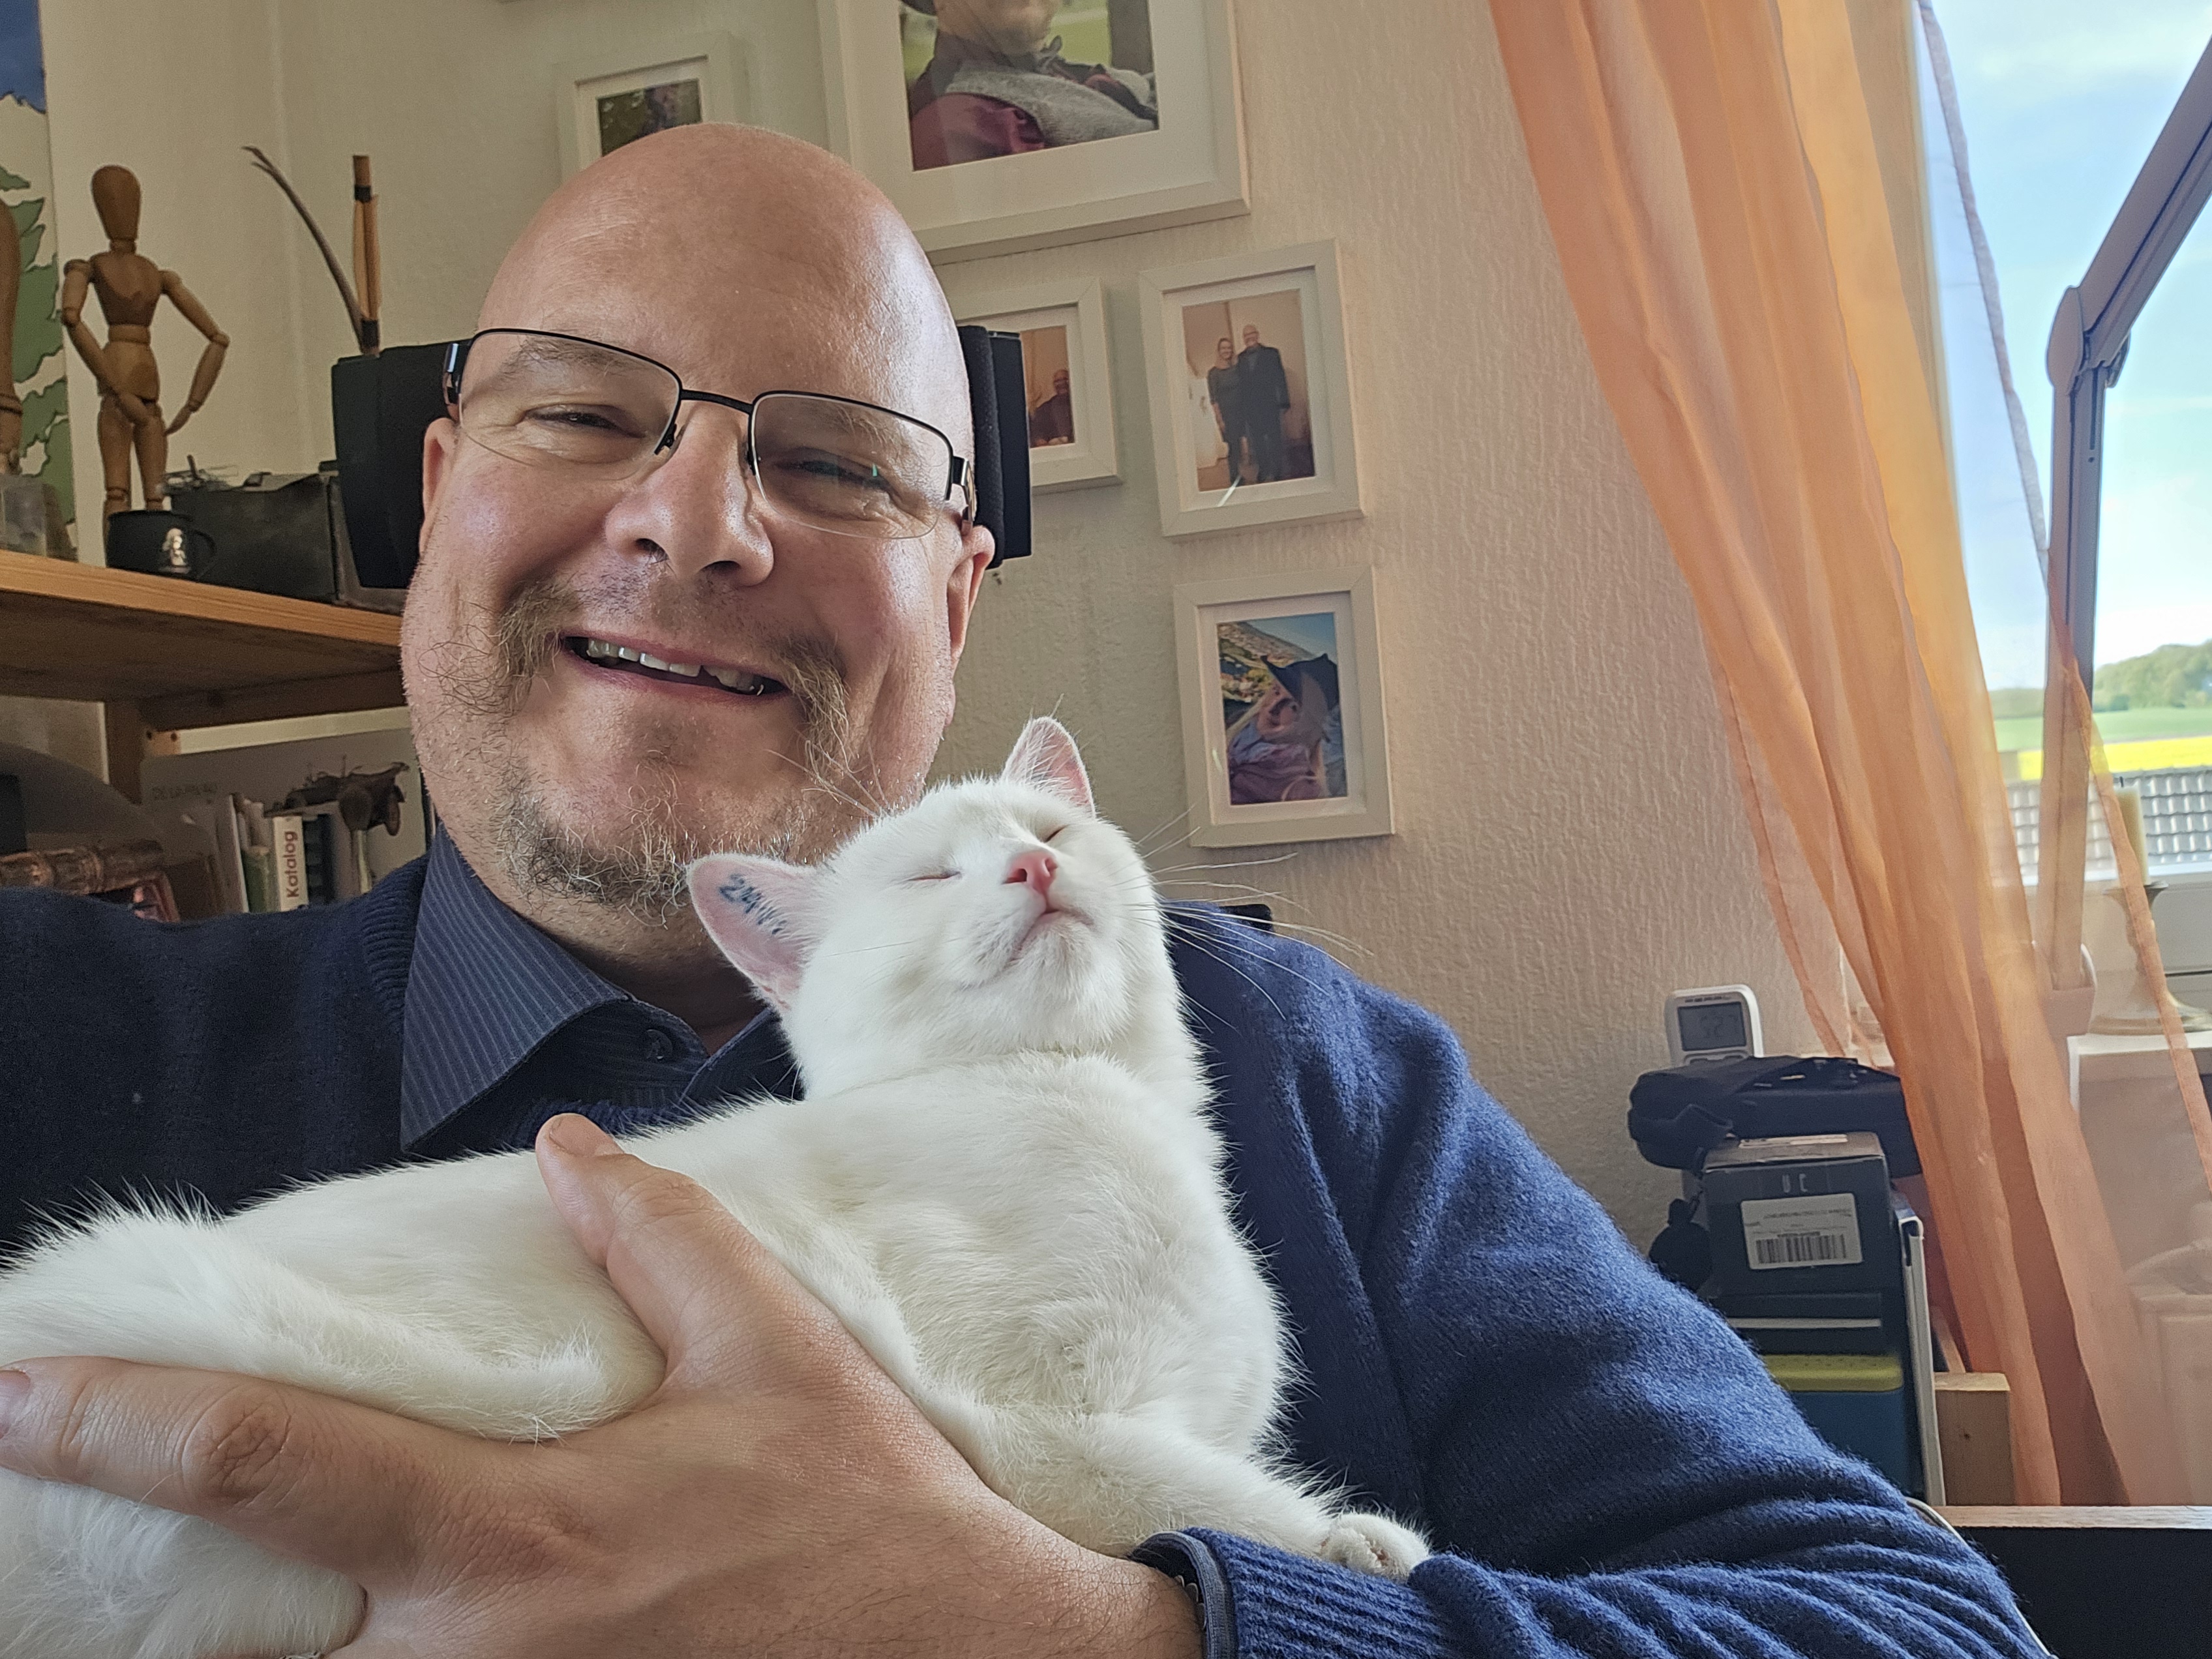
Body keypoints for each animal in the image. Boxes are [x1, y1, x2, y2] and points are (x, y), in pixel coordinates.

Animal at [0, 716, 1430, 1659]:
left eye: (1049, 829)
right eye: (929, 875)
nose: (1030, 866)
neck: (1080, 1093)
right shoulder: (1025, 1422)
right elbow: (1182, 1490)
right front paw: (1346, 1542)